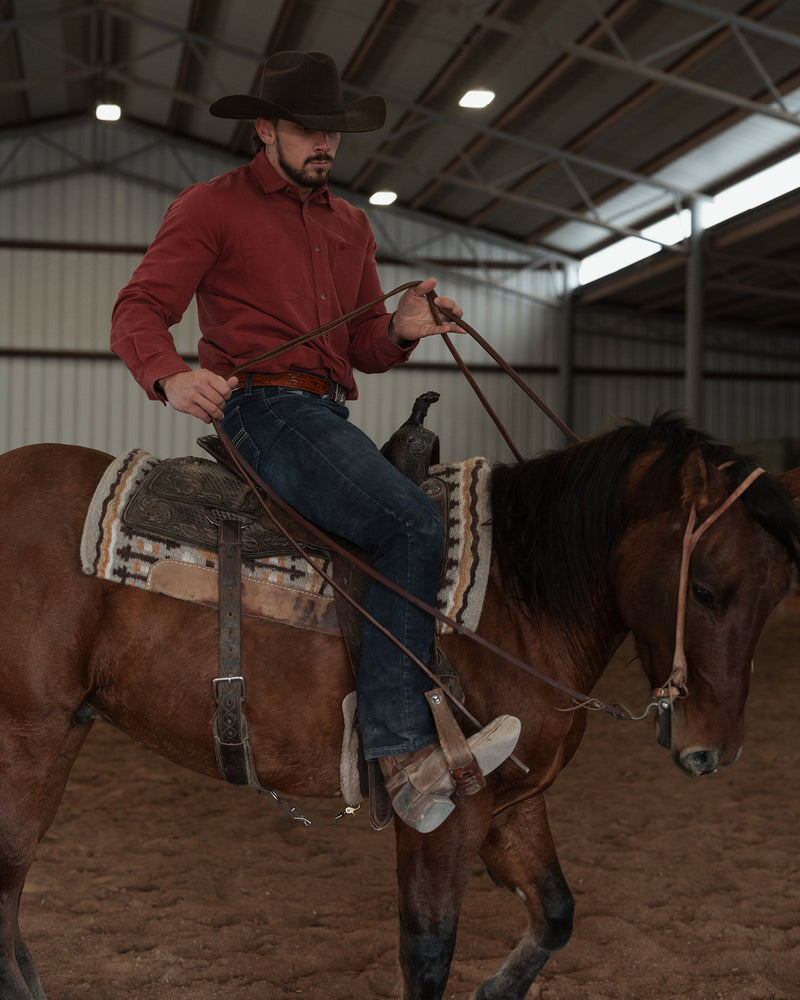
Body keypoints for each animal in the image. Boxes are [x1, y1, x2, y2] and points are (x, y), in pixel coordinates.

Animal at [0, 414, 796, 1000]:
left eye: (777, 593)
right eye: (704, 590)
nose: (711, 750)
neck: (519, 599)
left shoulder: (511, 802)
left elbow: (556, 914)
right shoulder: (449, 811)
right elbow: (429, 952)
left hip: (62, 734)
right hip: (25, 741)